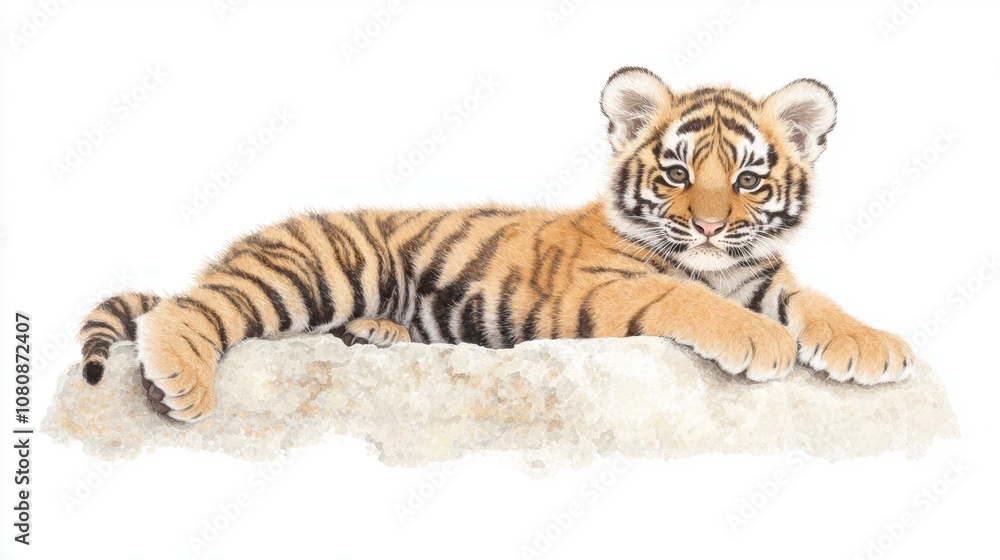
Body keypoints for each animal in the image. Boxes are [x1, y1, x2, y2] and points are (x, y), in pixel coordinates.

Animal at [77, 66, 915, 422]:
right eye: (677, 172)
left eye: (746, 181)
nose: (710, 226)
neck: (714, 264)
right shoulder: (602, 288)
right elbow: (682, 296)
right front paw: (762, 343)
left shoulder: (762, 276)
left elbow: (815, 300)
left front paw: (871, 345)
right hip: (325, 265)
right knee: (192, 307)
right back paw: (182, 379)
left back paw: (379, 333)